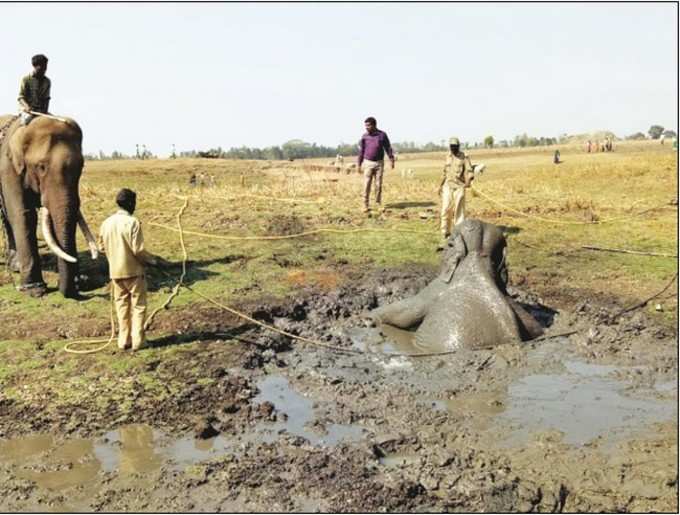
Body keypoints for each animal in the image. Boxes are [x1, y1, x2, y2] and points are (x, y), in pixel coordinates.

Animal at [0, 114, 98, 298]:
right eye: (41, 167)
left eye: (81, 166)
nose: (79, 284)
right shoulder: (8, 169)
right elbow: (23, 215)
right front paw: (35, 290)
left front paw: (79, 282)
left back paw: (15, 266)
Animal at [370, 220, 544, 352]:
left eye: (449, 244)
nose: (438, 248)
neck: (476, 258)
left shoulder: (434, 289)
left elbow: (406, 311)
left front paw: (367, 318)